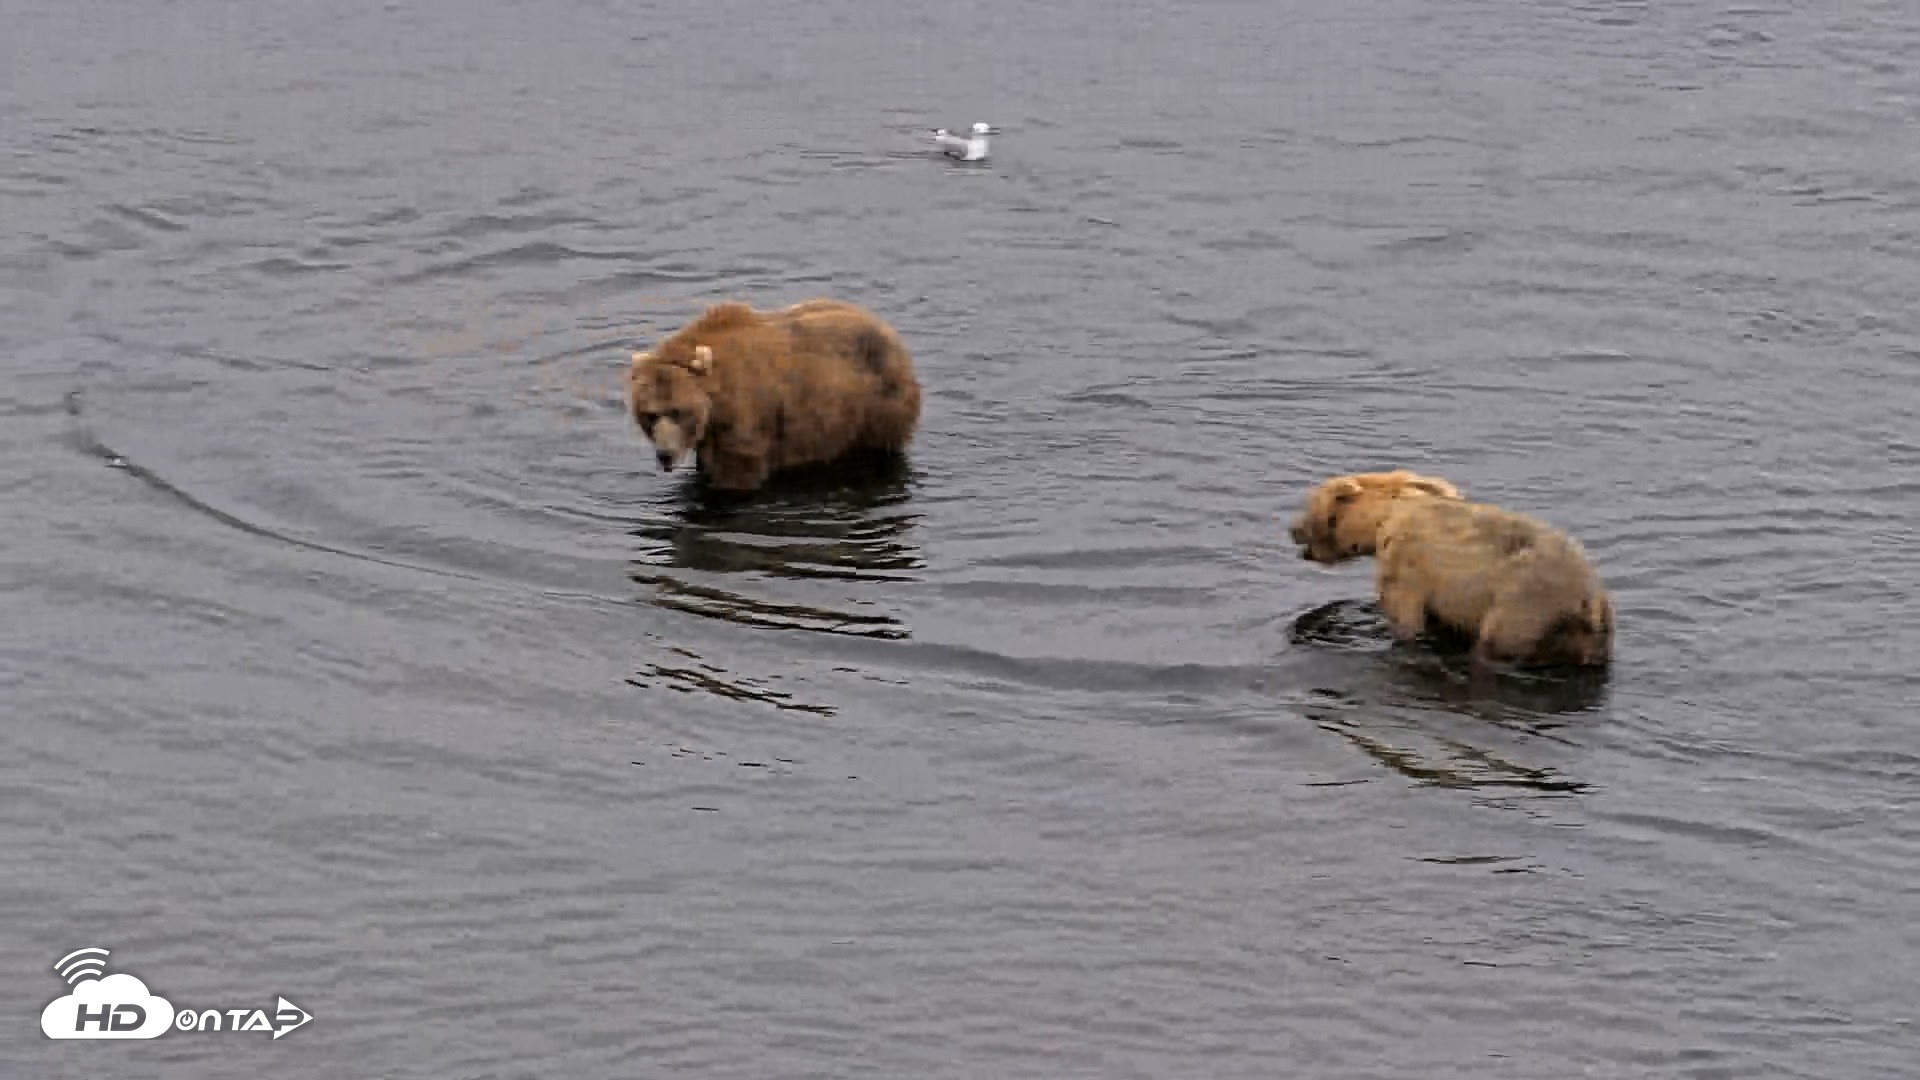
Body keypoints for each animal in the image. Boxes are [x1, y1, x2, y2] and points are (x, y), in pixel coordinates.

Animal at [627, 298, 922, 492]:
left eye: (678, 411)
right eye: (651, 414)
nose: (665, 454)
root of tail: (887, 329)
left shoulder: (746, 419)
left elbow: (738, 473)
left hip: (876, 404)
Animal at [1287, 470, 1613, 671]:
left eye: (1307, 507)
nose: (1292, 529)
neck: (1384, 516)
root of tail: (1588, 601)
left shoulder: (1408, 563)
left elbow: (1405, 615)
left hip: (1523, 604)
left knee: (1493, 642)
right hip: (1592, 632)